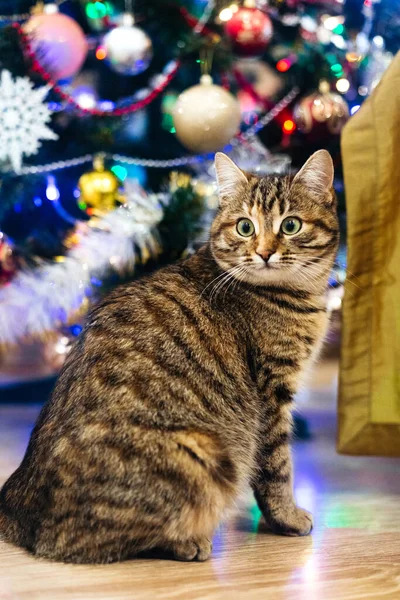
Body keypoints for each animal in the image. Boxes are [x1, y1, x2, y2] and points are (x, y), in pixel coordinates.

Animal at [0, 149, 338, 564]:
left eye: (290, 225)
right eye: (245, 227)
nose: (264, 252)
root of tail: (15, 506)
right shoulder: (272, 395)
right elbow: (277, 467)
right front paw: (287, 517)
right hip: (201, 452)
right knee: (85, 541)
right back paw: (188, 543)